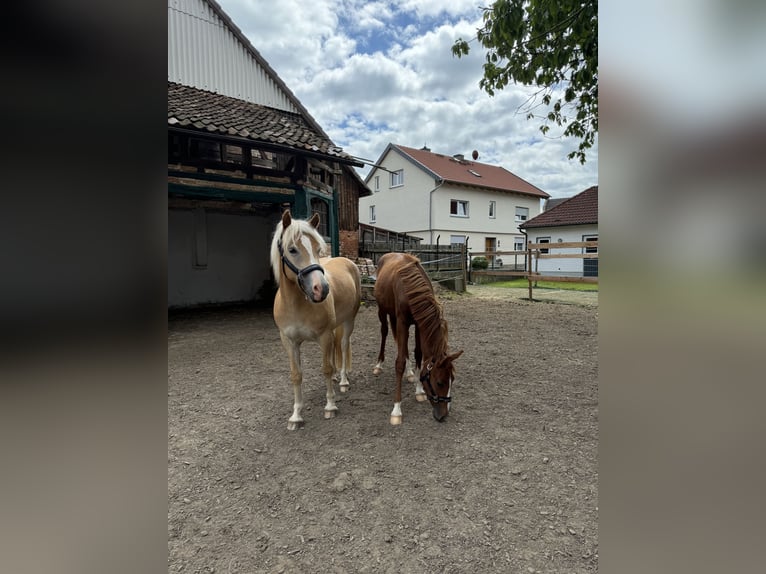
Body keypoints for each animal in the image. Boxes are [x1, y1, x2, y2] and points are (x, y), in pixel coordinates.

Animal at [272, 209, 364, 430]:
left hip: (348, 322)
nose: (321, 289)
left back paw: (343, 381)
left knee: (344, 345)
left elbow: (326, 368)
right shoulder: (289, 341)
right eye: (292, 249)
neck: (296, 305)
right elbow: (296, 375)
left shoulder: (324, 336)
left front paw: (330, 406)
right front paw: (296, 415)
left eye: (317, 248)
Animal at [374, 254, 464, 426]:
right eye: (440, 382)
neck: (410, 288)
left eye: (453, 379)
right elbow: (399, 363)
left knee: (401, 344)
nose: (444, 415)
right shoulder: (402, 321)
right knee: (384, 332)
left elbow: (418, 354)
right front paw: (396, 410)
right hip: (382, 311)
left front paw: (419, 390)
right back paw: (378, 364)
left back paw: (409, 373)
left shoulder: (418, 323)